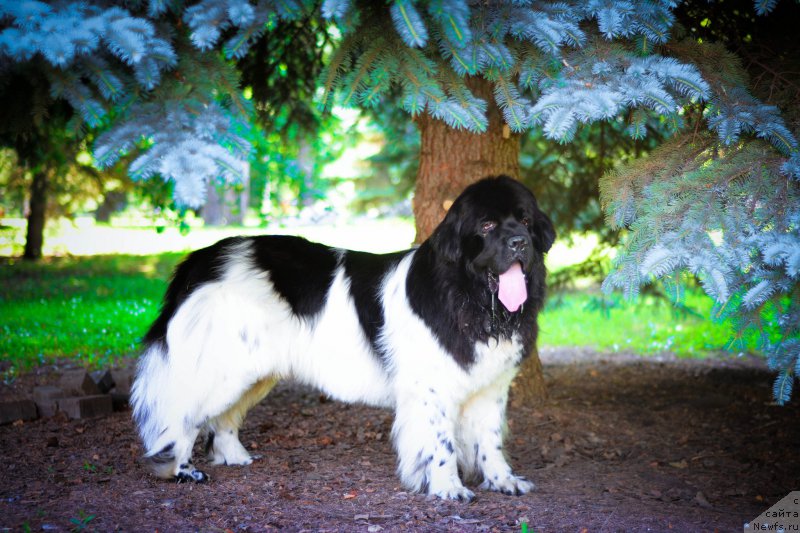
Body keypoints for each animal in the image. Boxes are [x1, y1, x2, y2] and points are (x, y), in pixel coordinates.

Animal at [133, 174, 556, 498]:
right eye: (486, 226)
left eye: (525, 220)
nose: (520, 242)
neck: (471, 298)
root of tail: (202, 258)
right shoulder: (430, 389)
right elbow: (441, 444)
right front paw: (447, 488)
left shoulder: (491, 386)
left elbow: (490, 439)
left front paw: (503, 481)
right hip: (221, 366)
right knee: (182, 413)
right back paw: (180, 470)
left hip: (252, 370)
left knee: (222, 417)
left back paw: (236, 457)